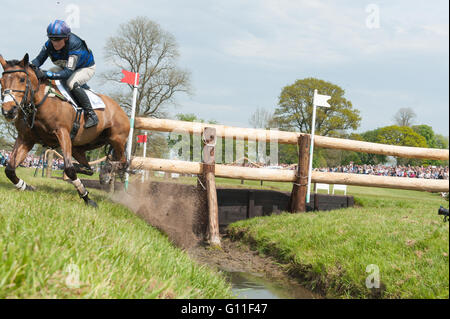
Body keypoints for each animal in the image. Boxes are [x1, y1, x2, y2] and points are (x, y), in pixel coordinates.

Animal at [0, 53, 130, 209]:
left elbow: (69, 169)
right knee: (92, 166)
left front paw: (87, 199)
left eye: (22, 79)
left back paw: (105, 175)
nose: (8, 111)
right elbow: (9, 169)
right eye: (1, 81)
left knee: (122, 162)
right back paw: (91, 170)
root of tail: (121, 110)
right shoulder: (26, 138)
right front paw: (27, 187)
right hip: (80, 147)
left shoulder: (63, 133)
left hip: (117, 139)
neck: (40, 102)